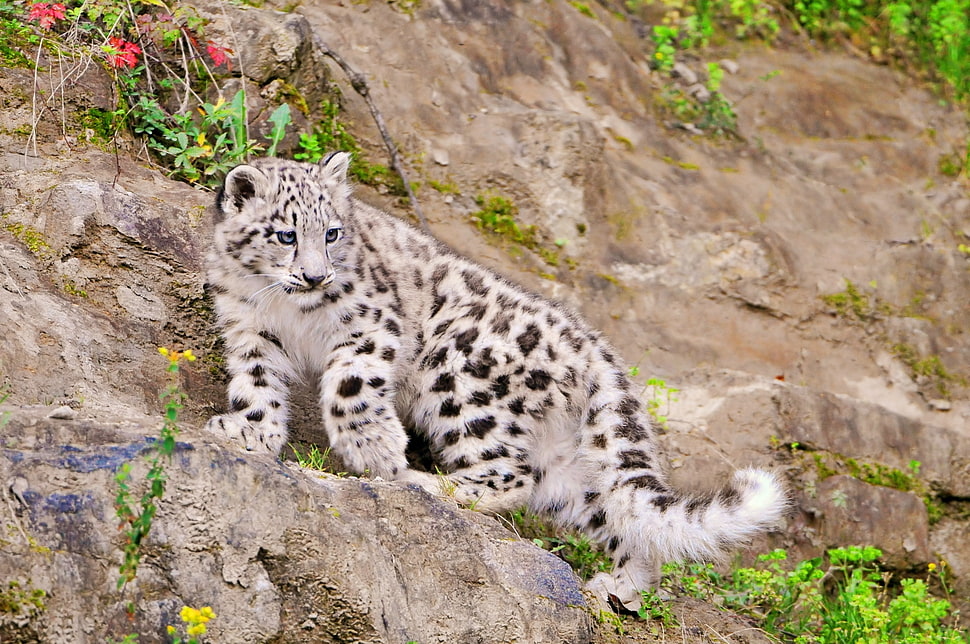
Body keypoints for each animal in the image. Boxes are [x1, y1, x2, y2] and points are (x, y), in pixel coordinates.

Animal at [205, 153, 787, 609]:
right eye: (286, 234)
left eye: (332, 232)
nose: (316, 275)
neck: (285, 309)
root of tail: (594, 346)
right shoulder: (249, 329)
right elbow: (255, 382)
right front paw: (250, 431)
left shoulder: (370, 325)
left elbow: (352, 386)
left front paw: (375, 450)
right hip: (568, 467)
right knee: (613, 514)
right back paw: (619, 588)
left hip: (459, 376)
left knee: (508, 474)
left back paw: (424, 483)